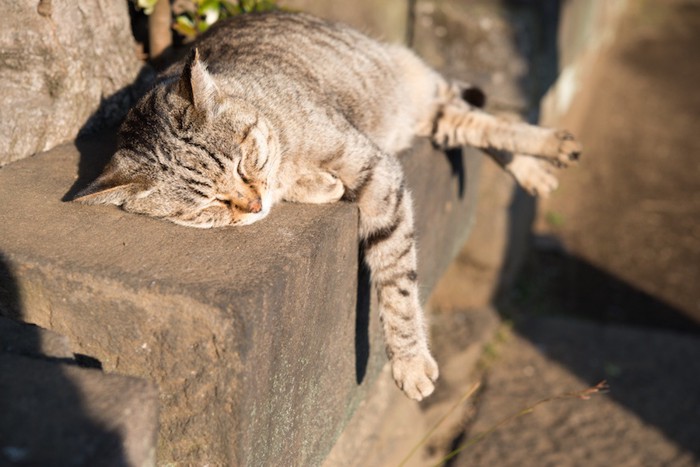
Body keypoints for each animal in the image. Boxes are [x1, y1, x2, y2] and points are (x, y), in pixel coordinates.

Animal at [74, 12, 584, 404]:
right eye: (209, 205)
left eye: (241, 162)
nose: (251, 203)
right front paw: (316, 186)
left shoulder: (376, 169)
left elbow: (396, 281)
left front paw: (409, 358)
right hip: (434, 122)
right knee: (474, 125)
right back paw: (536, 167)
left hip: (419, 93)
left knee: (487, 117)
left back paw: (550, 149)